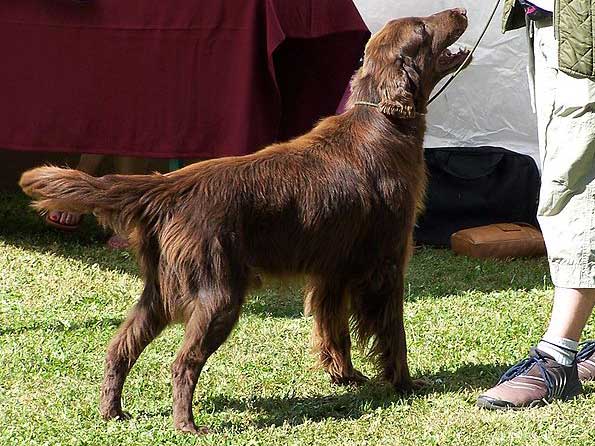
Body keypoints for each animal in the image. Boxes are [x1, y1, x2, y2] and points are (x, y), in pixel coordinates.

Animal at [19, 9, 470, 436]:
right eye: (423, 28)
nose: (462, 10)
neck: (382, 122)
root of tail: (170, 186)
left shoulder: (332, 272)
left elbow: (334, 331)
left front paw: (345, 377)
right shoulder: (386, 263)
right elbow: (394, 334)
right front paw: (405, 385)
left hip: (159, 295)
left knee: (119, 348)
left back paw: (113, 412)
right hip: (219, 295)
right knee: (181, 362)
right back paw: (187, 425)